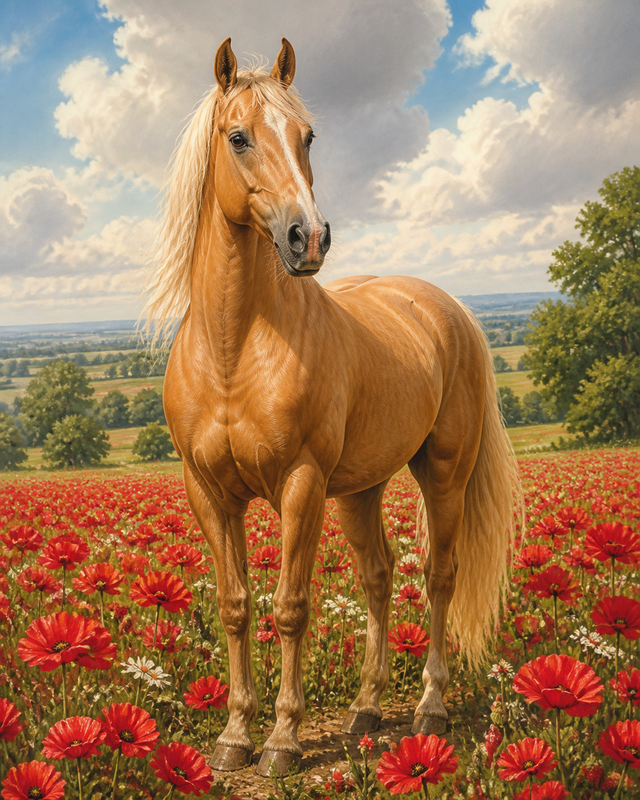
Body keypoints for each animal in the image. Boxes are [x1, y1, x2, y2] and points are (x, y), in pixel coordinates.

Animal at [144, 37, 520, 777]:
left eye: (307, 135)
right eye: (238, 137)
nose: (308, 238)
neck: (235, 347)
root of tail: (449, 308)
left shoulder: (301, 486)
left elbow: (291, 606)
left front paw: (282, 742)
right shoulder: (209, 493)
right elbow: (236, 605)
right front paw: (235, 735)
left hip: (443, 475)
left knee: (437, 576)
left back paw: (429, 707)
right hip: (360, 489)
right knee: (379, 577)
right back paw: (366, 710)